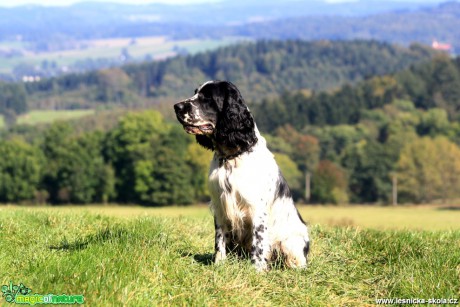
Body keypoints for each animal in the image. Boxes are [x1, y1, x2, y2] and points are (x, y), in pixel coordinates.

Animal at [174, 81, 310, 272]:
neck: (231, 157)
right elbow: (219, 240)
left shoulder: (257, 209)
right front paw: (219, 264)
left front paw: (257, 270)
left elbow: (258, 243)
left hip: (292, 241)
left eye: (207, 97)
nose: (176, 106)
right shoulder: (219, 204)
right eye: (195, 93)